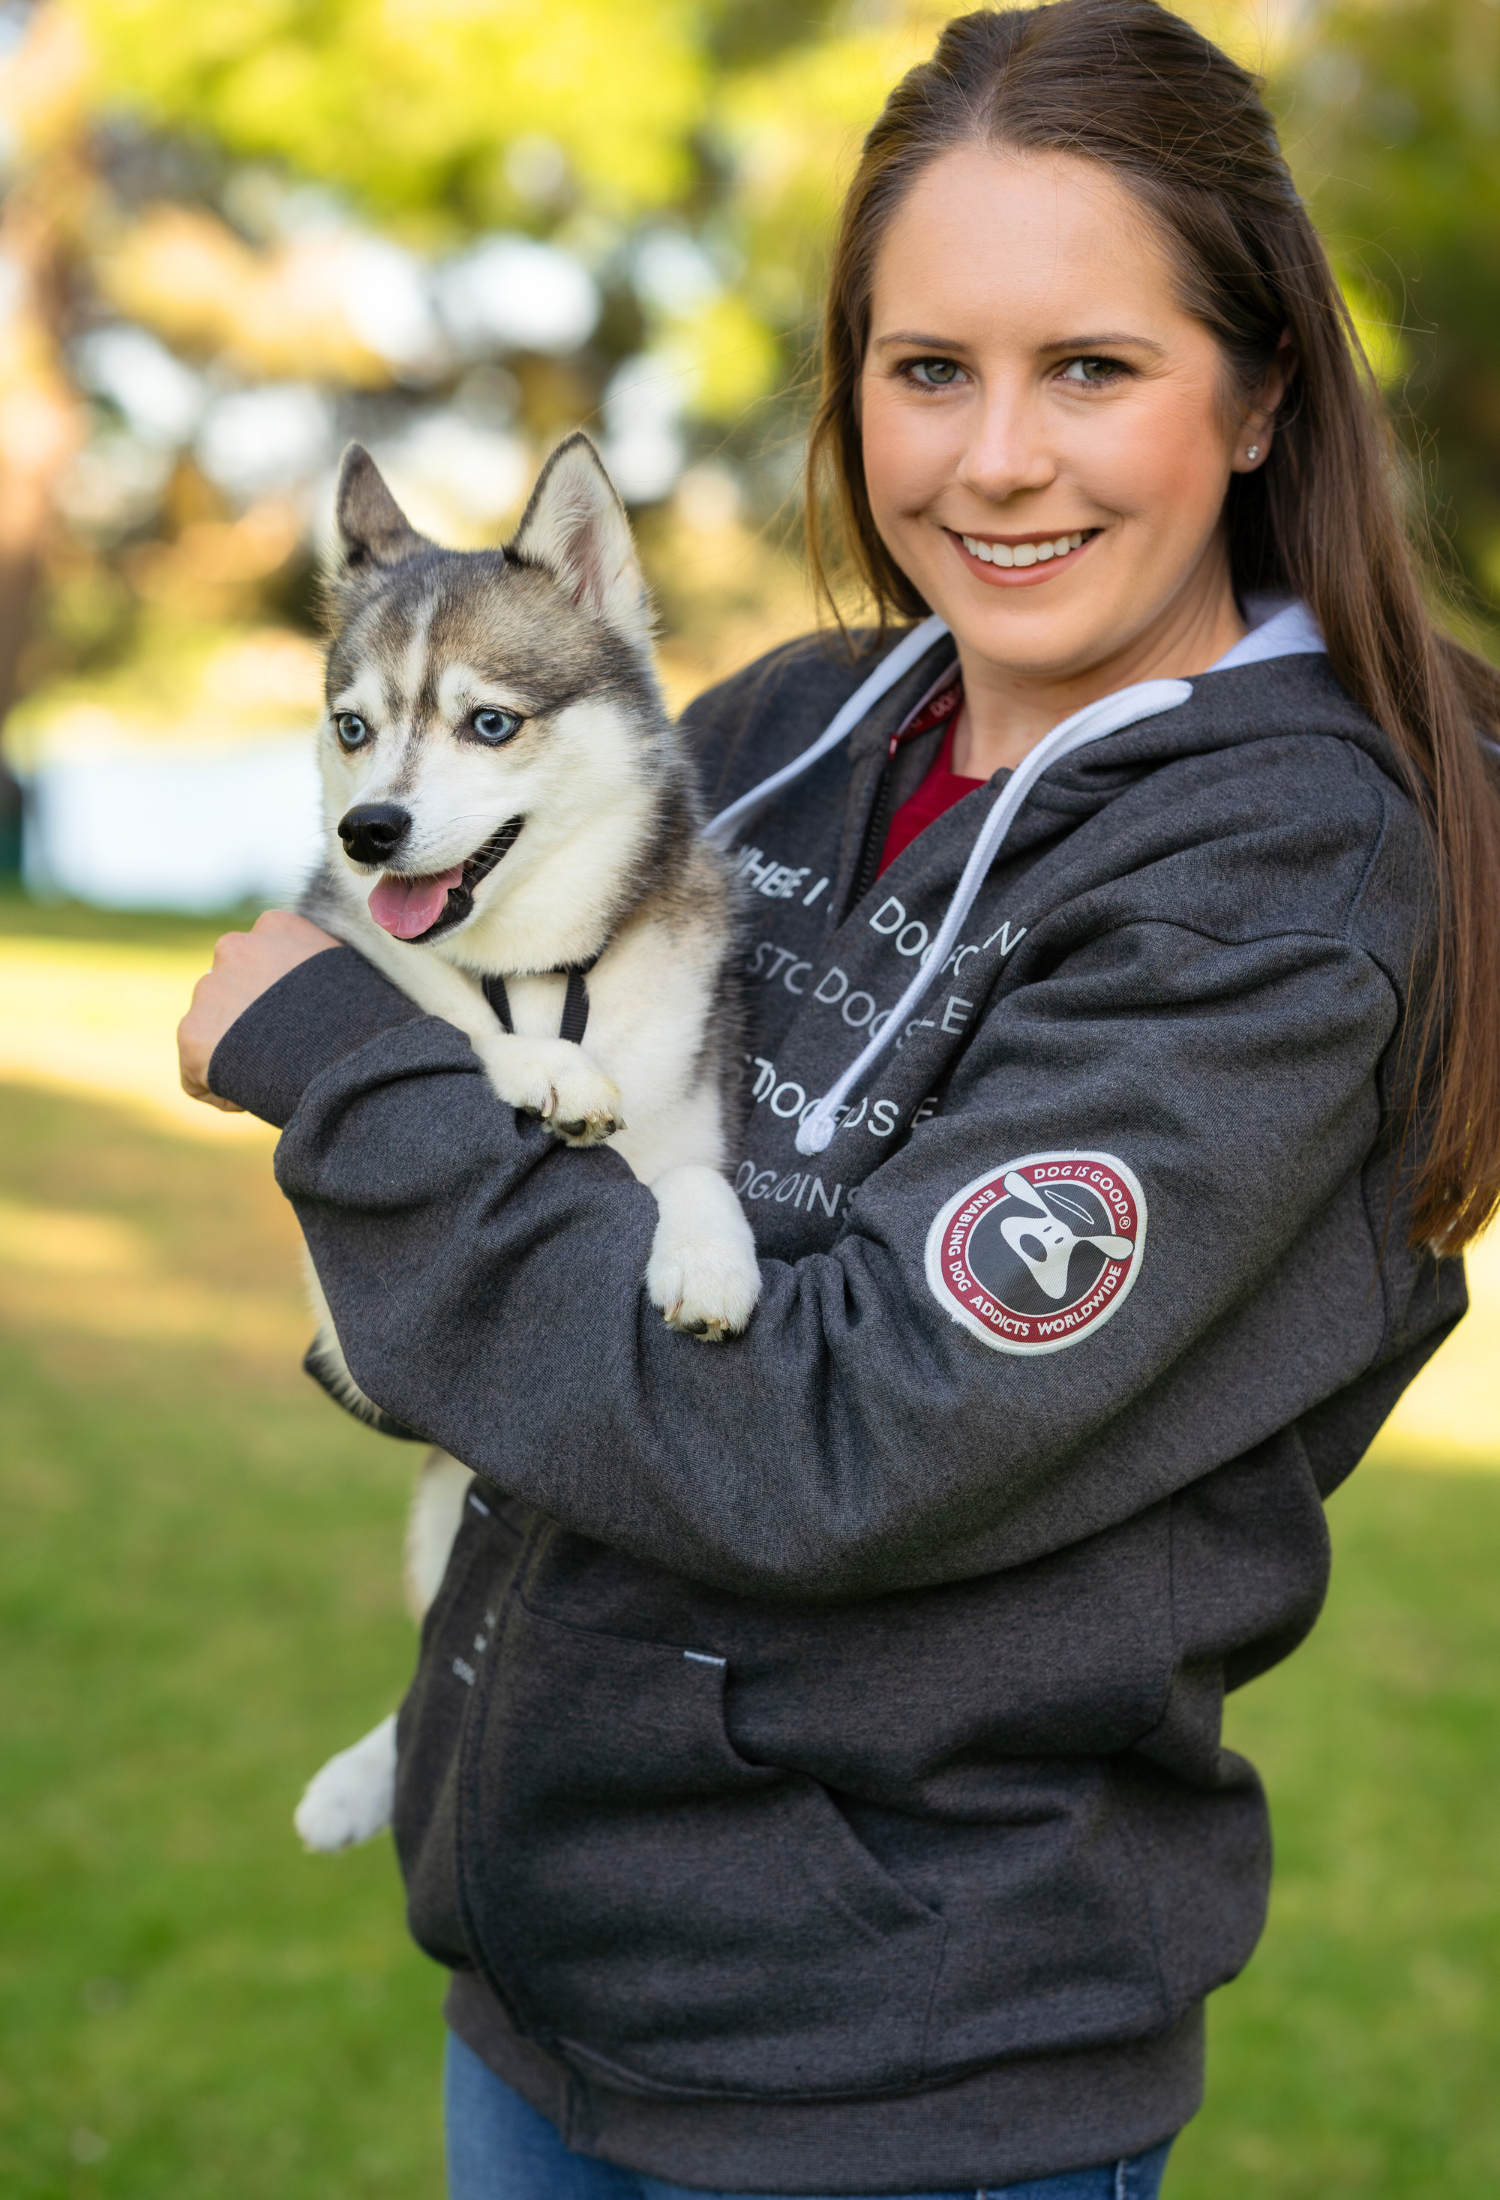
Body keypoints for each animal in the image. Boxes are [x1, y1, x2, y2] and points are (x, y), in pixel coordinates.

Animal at [288, 437, 760, 1848]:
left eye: (488, 722)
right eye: (353, 728)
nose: (370, 831)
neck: (539, 973)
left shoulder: (689, 1097)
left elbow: (696, 1170)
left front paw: (709, 1258)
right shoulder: (342, 1324)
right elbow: (439, 1024)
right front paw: (544, 1070)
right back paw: (358, 1777)